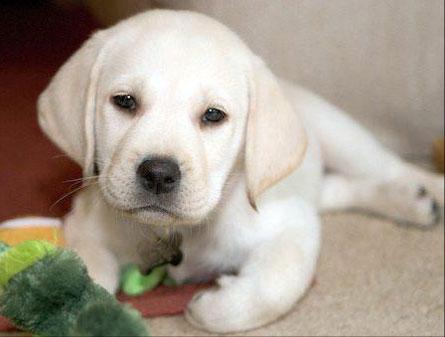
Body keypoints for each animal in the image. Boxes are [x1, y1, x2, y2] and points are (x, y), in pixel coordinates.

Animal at [37, 9, 440, 332]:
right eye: (124, 101)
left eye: (213, 115)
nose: (158, 174)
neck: (181, 233)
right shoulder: (84, 224)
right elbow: (89, 274)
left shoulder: (294, 224)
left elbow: (272, 288)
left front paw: (211, 306)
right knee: (343, 189)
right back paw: (415, 203)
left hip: (342, 135)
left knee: (390, 167)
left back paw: (425, 193)